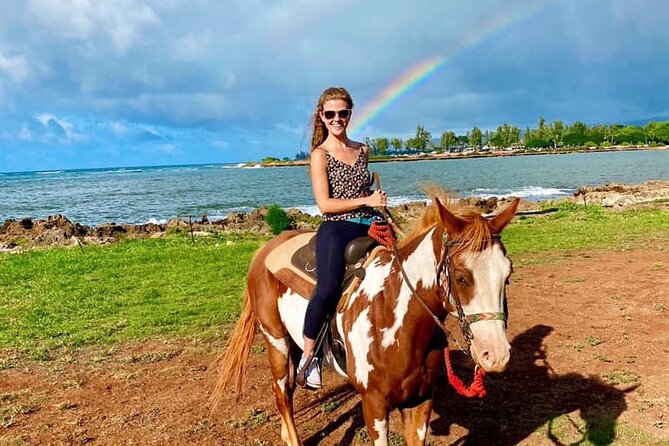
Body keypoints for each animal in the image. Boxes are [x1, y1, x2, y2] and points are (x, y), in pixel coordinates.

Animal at [211, 192, 520, 446]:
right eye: (461, 277)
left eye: (508, 275)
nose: (496, 355)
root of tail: (264, 250)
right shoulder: (374, 404)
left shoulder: (421, 400)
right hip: (275, 339)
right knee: (281, 395)